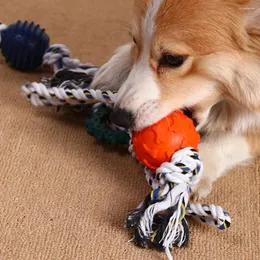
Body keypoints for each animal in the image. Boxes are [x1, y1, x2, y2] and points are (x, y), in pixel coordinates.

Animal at [91, 0, 260, 198]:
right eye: (134, 40)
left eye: (172, 59)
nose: (117, 117)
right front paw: (116, 66)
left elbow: (228, 138)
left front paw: (196, 168)